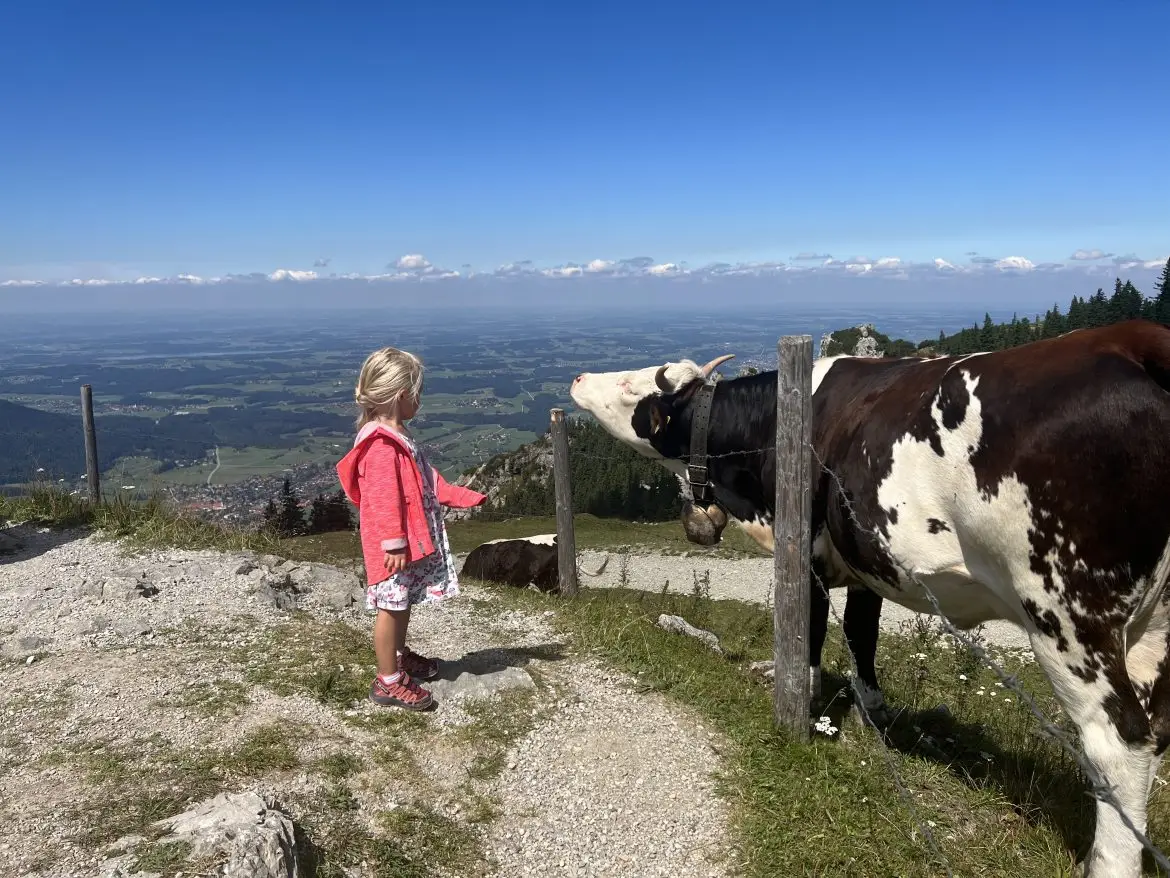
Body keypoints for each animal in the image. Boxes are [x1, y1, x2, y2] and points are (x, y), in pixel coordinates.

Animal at [570, 320, 1170, 877]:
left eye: (632, 386)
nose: (576, 377)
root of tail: (1129, 338)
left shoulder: (807, 548)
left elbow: (810, 629)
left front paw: (805, 699)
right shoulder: (865, 560)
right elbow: (862, 632)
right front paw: (871, 711)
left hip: (1065, 611)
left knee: (1118, 743)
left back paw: (1106, 862)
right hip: (1151, 625)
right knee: (1154, 733)